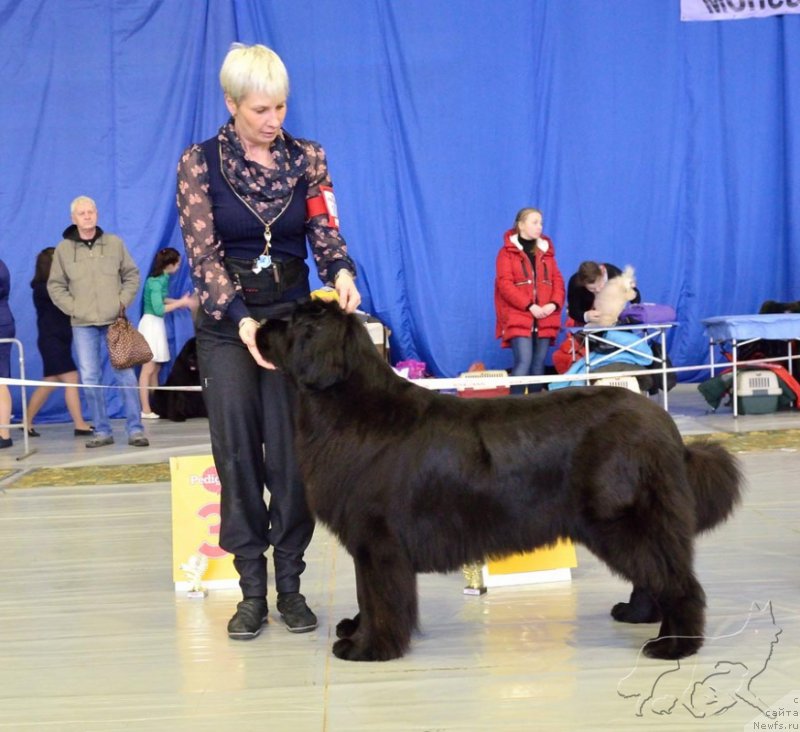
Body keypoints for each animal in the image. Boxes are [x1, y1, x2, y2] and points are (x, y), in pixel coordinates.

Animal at [255, 302, 736, 664]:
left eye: (292, 321)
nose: (257, 326)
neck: (348, 405)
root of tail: (664, 424)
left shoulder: (378, 540)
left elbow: (379, 598)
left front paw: (368, 647)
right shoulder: (368, 543)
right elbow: (366, 593)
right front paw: (357, 631)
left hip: (624, 521)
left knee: (677, 581)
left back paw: (674, 645)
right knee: (655, 574)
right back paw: (638, 614)